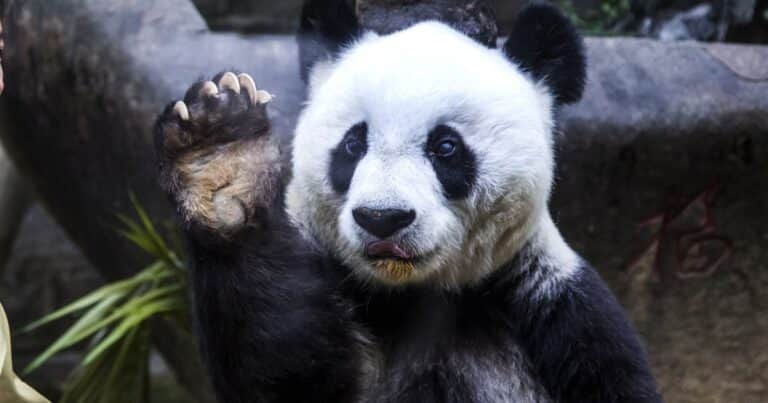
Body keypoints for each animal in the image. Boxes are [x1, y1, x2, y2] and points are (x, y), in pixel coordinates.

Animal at [154, 1, 663, 402]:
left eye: (446, 147)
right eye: (353, 144)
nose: (383, 219)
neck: (410, 292)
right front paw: (221, 151)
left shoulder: (551, 307)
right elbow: (281, 367)